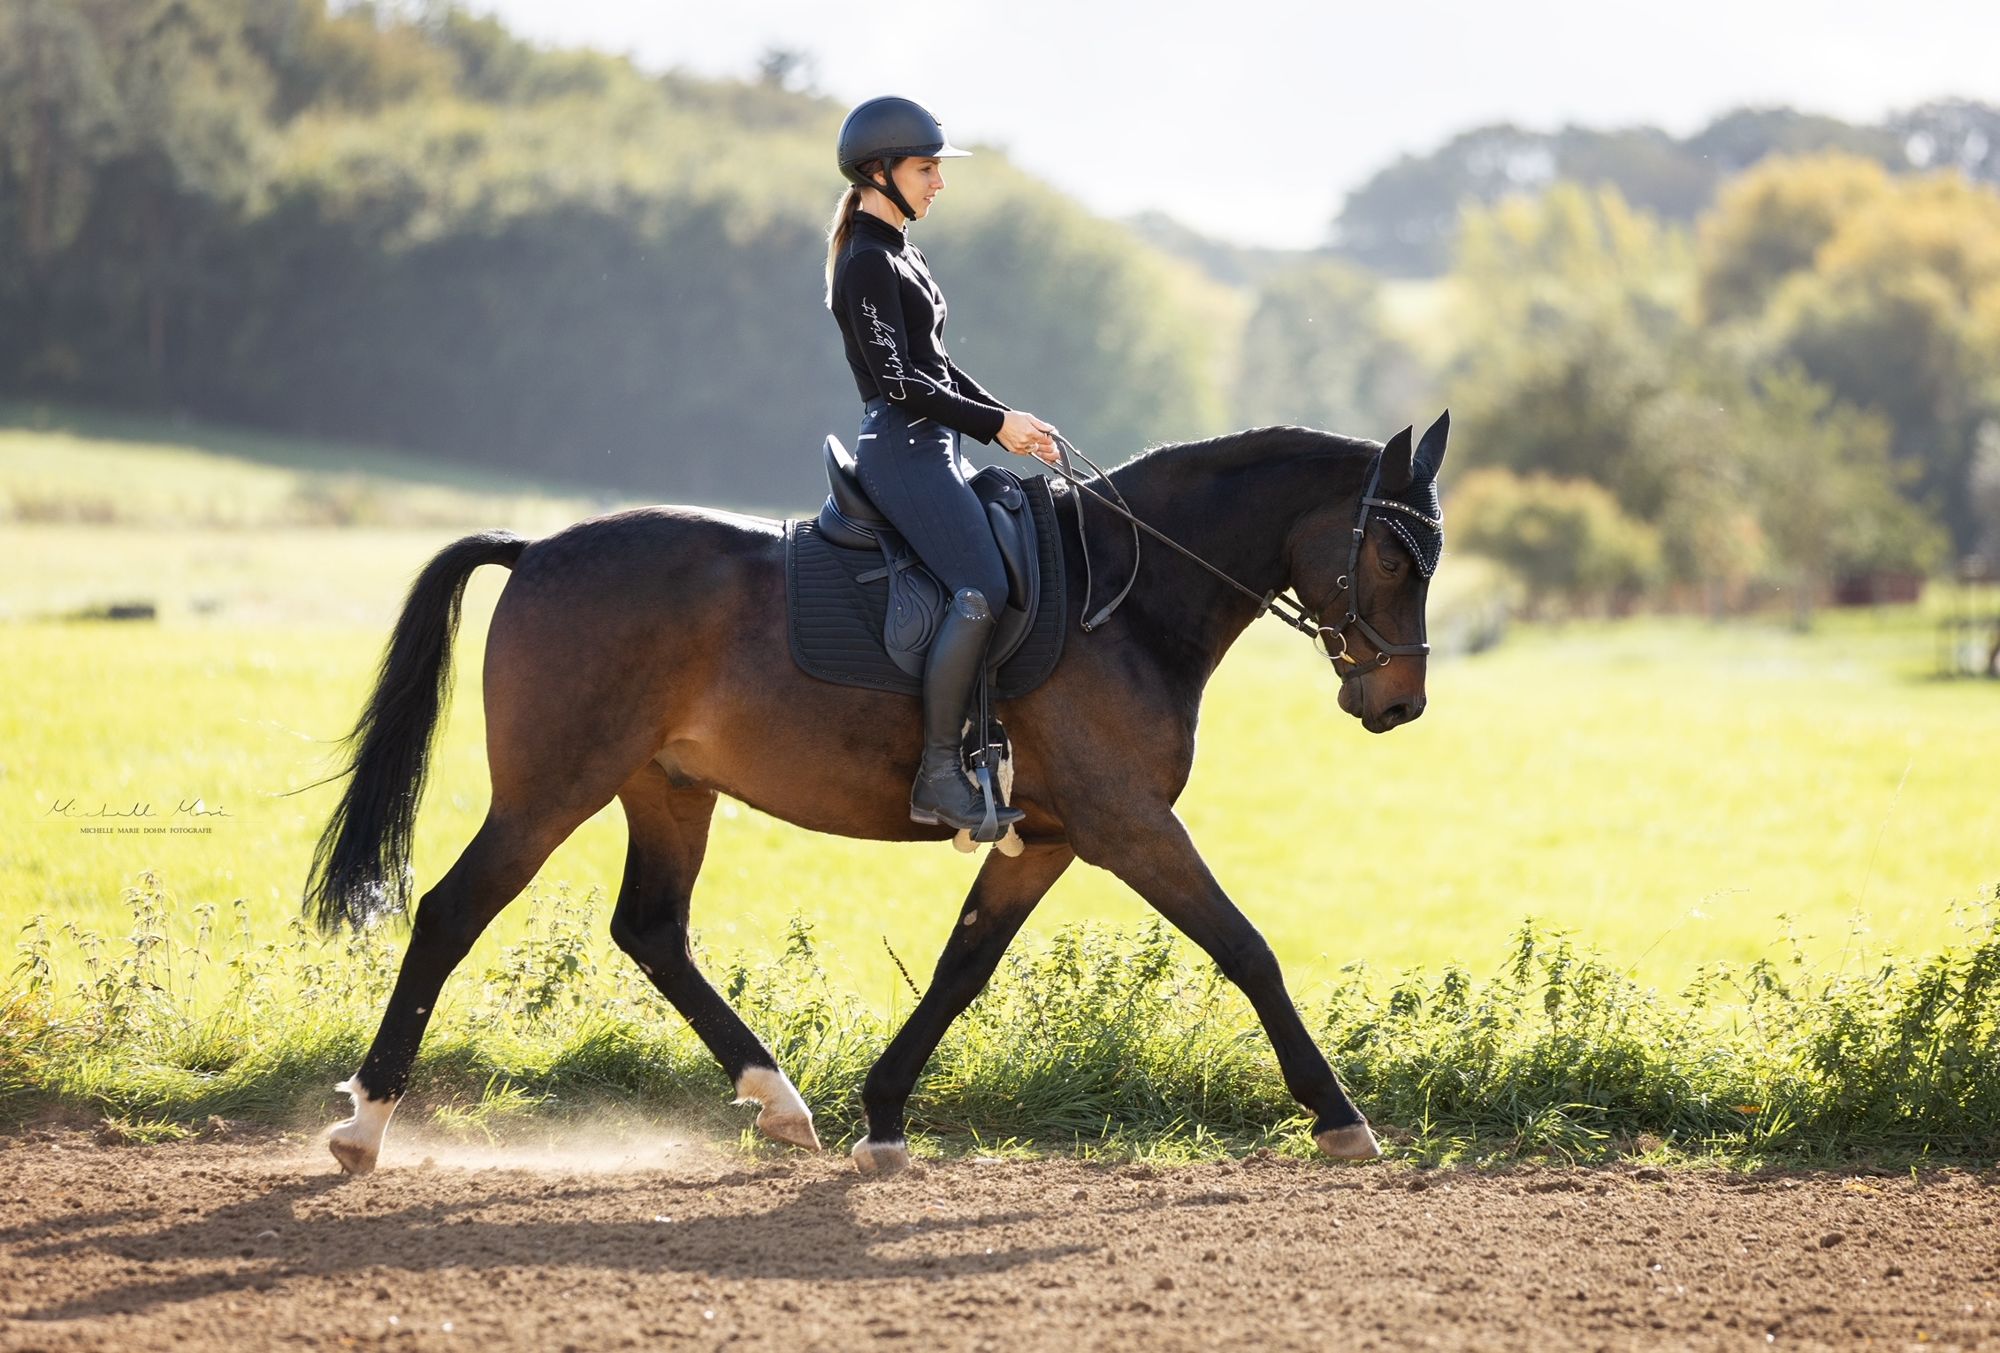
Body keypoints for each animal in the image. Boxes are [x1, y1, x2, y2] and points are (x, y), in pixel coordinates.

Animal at [304, 411, 1450, 1176]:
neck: (1124, 597)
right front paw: (1338, 1114)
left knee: (652, 931)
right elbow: (1246, 949)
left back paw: (778, 1101)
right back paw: (365, 1121)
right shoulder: (1128, 825)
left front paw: (884, 1116)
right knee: (451, 913)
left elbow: (960, 969)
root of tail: (536, 546)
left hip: (666, 789)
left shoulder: (1044, 837)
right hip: (551, 789)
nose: (1399, 702)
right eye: (1395, 556)